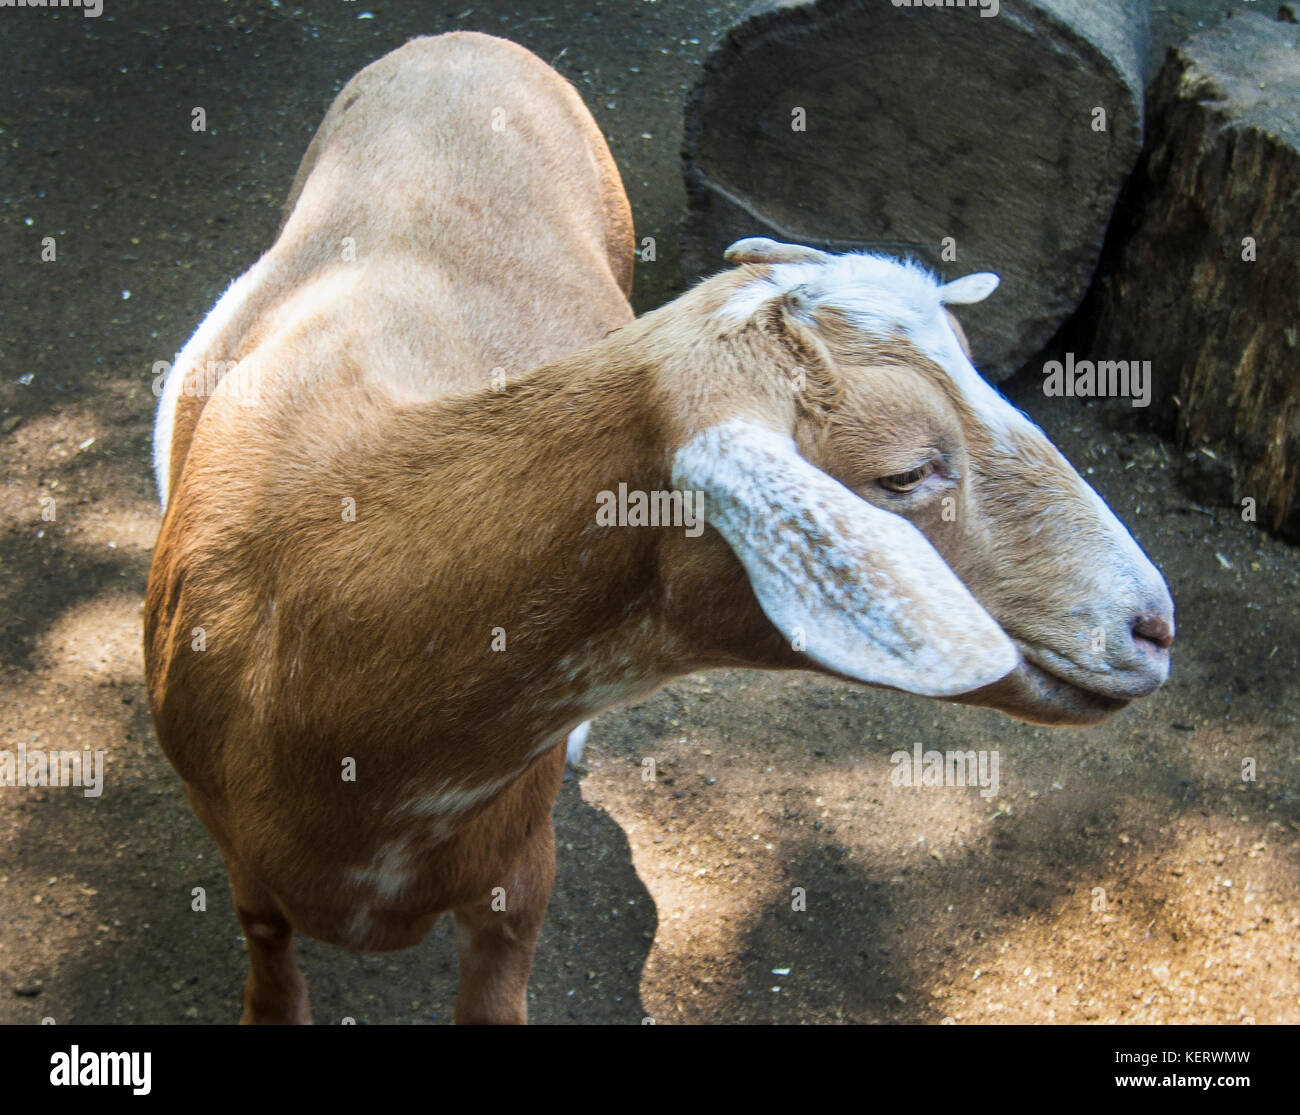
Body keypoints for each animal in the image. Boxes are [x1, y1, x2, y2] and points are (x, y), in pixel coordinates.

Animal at [145, 33, 1174, 1025]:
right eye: (906, 470)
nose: (1153, 625)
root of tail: (459, 37)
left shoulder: (520, 877)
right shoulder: (249, 877)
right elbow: (271, 978)